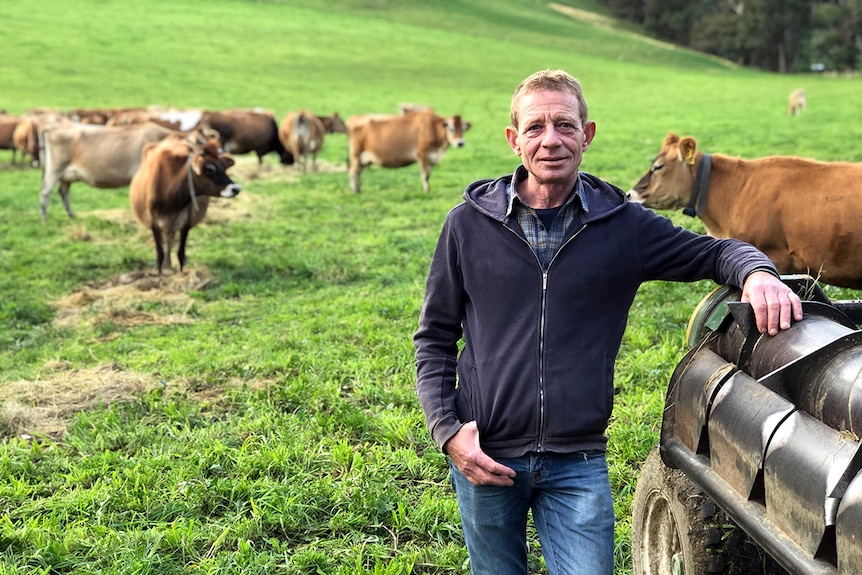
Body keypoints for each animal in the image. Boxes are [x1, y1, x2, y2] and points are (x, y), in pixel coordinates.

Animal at [126, 137, 240, 276]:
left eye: (224, 167)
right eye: (209, 169)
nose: (235, 188)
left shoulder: (186, 221)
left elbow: (180, 252)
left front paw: (180, 272)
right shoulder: (153, 222)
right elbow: (160, 253)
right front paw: (160, 275)